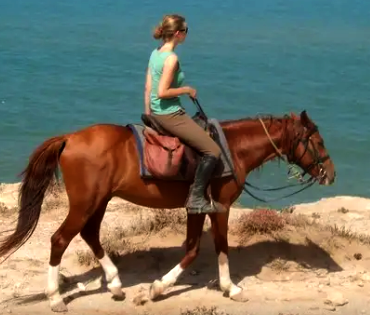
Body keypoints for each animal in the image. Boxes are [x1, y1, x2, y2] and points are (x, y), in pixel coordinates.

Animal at [0, 110, 336, 312]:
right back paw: (56, 297)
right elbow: (216, 246)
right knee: (60, 239)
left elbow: (194, 247)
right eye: (318, 140)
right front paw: (220, 287)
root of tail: (70, 138)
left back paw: (116, 284)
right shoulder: (220, 207)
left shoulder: (198, 209)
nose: (331, 174)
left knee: (90, 234)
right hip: (86, 203)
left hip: (99, 201)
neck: (232, 150)